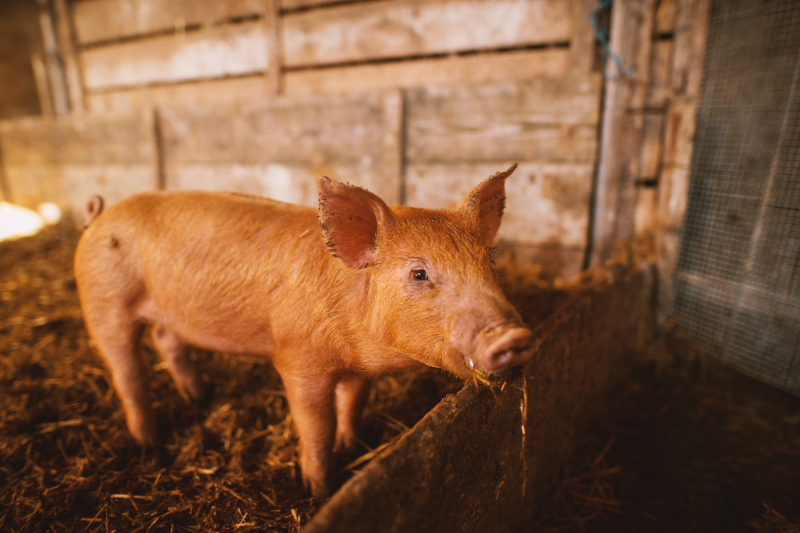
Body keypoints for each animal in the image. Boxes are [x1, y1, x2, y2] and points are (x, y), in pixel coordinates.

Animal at [75, 162, 536, 498]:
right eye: (419, 273)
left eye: (488, 262)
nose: (516, 338)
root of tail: (98, 216)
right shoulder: (298, 359)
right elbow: (316, 425)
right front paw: (319, 491)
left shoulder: (358, 369)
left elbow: (353, 403)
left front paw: (352, 445)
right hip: (103, 302)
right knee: (127, 372)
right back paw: (149, 445)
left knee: (165, 341)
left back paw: (202, 398)